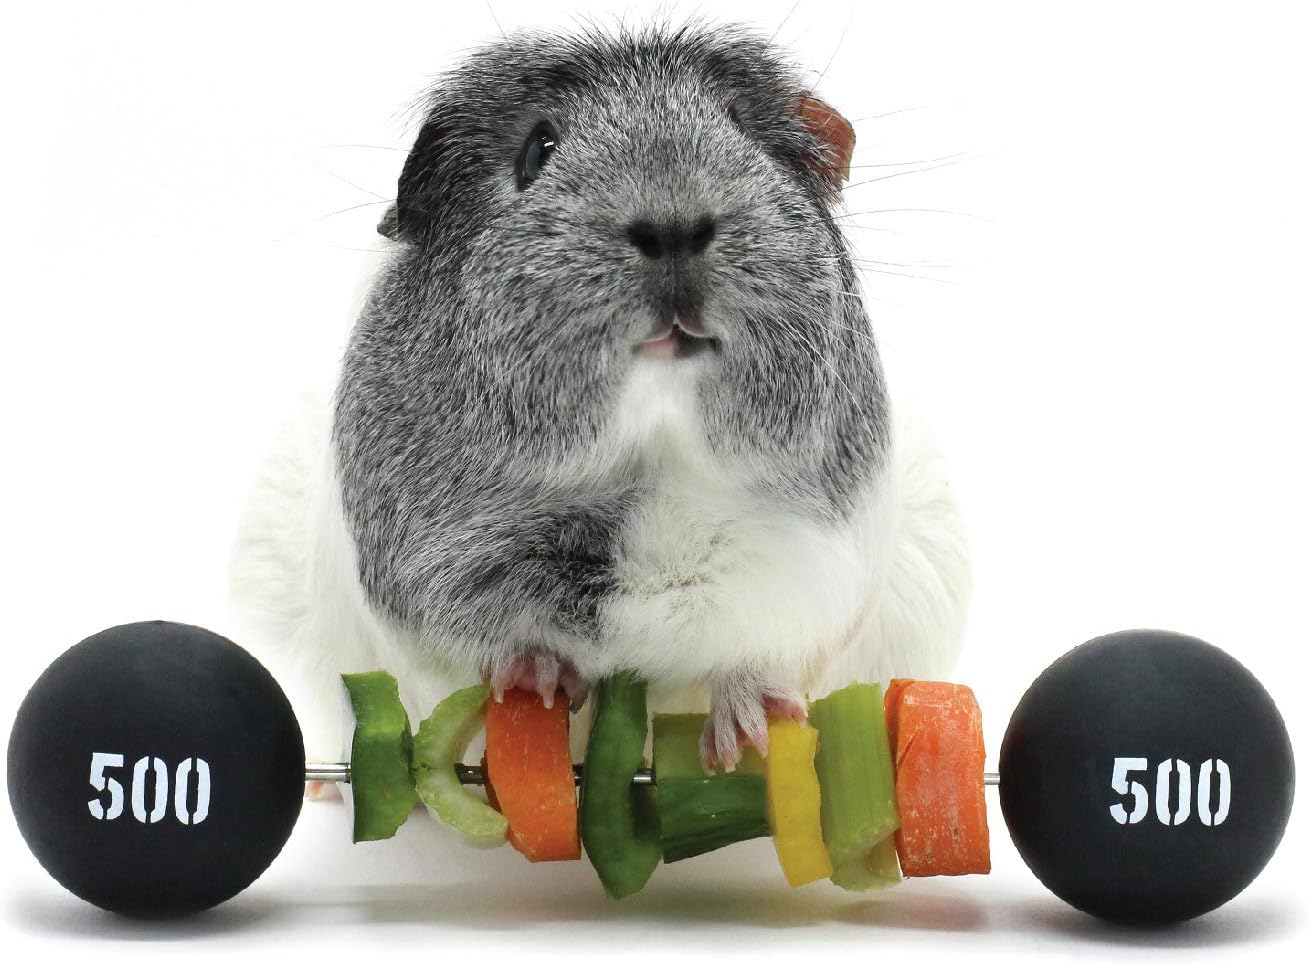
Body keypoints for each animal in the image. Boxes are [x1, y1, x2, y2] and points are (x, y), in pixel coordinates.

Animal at [230, 22, 971, 774]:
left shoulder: (822, 568)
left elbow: (766, 653)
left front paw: (751, 732)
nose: (672, 226)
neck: (657, 466)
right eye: (538, 149)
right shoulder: (431, 584)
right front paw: (538, 679)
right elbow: (485, 651)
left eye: (740, 127)